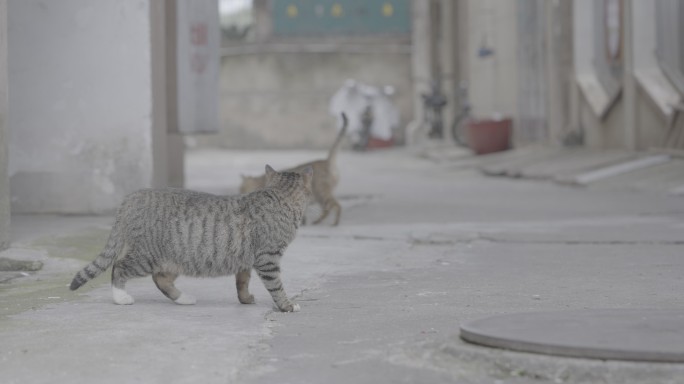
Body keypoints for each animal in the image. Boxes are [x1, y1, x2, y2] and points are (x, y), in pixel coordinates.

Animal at [70, 165, 312, 312]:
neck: (279, 196)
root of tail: (132, 197)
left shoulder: (246, 259)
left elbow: (242, 282)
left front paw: (245, 299)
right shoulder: (267, 258)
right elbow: (276, 286)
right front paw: (287, 305)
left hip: (175, 258)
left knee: (160, 279)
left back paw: (183, 298)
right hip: (145, 256)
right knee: (119, 267)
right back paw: (121, 297)